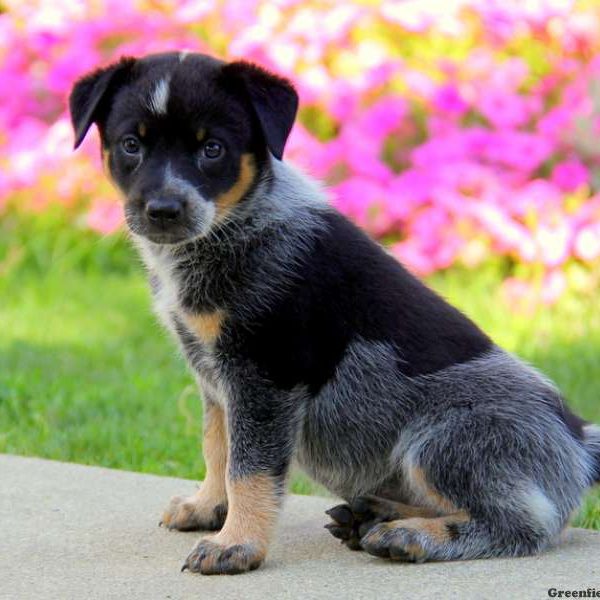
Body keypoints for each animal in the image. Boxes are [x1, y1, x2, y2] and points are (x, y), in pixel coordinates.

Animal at [70, 52, 600, 576]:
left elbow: (248, 468)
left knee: (525, 524)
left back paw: (410, 535)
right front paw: (207, 508)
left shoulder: (265, 374)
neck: (235, 227)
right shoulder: (213, 376)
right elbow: (216, 446)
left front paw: (237, 544)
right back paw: (376, 513)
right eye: (131, 145)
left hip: (447, 438)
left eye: (213, 149)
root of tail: (577, 440)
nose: (163, 210)